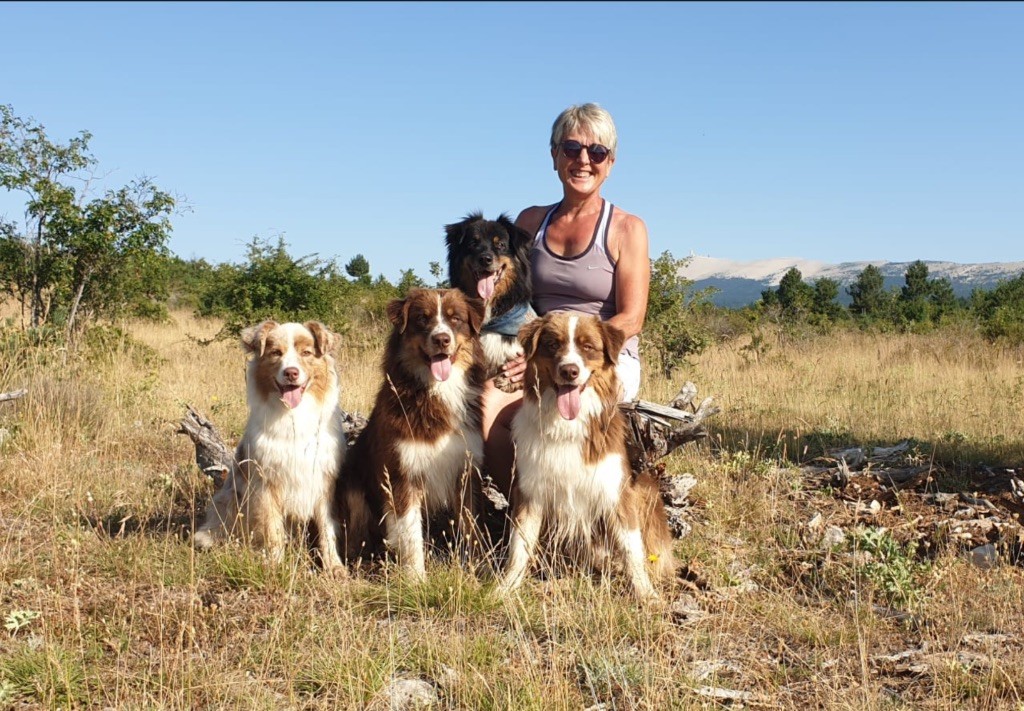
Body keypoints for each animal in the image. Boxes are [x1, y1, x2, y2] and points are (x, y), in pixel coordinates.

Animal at [193, 323, 346, 573]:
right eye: (276, 353)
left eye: (306, 353)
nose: (291, 372)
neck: (293, 416)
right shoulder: (265, 483)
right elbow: (272, 530)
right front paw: (275, 565)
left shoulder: (324, 482)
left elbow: (327, 529)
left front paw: (334, 567)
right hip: (230, 499)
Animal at [331, 288, 483, 577]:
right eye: (422, 319)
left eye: (455, 319)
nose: (442, 339)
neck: (435, 391)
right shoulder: (401, 473)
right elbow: (410, 533)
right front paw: (416, 578)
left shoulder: (464, 470)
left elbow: (471, 526)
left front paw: (477, 566)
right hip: (352, 487)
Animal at [499, 315, 675, 598]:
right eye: (552, 344)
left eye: (588, 347)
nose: (569, 371)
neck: (566, 426)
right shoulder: (531, 492)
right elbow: (519, 546)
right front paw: (504, 589)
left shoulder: (616, 492)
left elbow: (632, 549)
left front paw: (645, 593)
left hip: (645, 490)